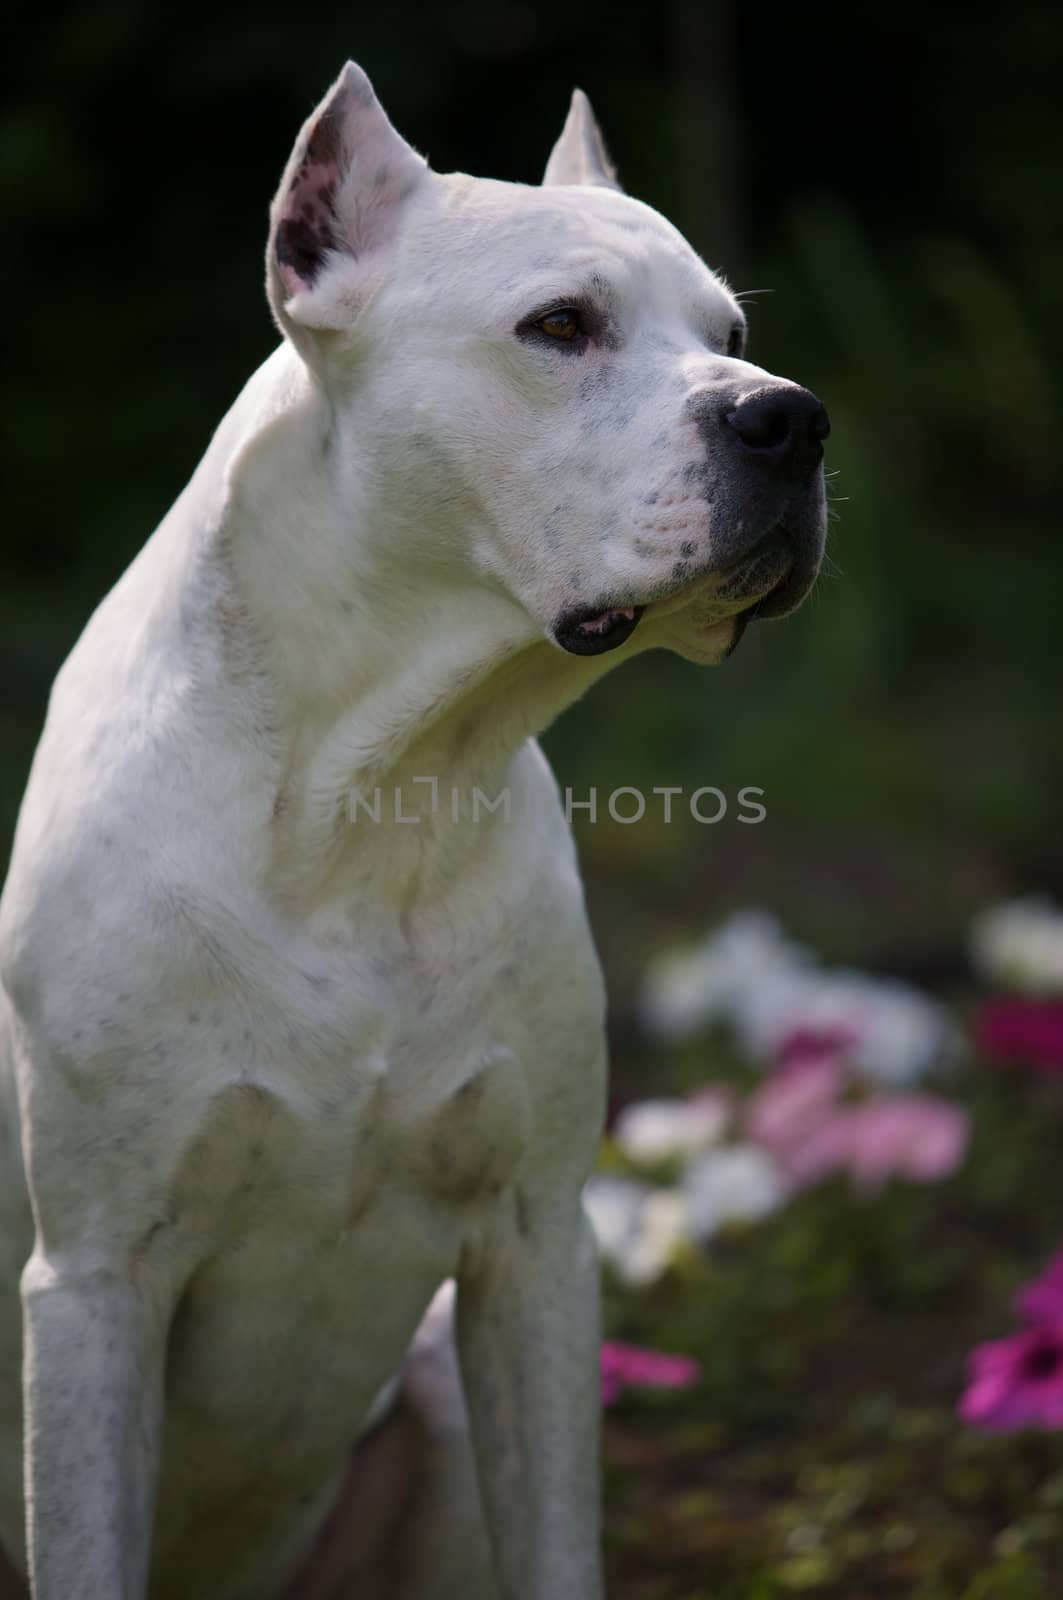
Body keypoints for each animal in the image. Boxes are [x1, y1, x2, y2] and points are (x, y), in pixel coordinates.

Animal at [0, 62, 832, 1600]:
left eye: (732, 336)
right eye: (559, 326)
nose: (790, 419)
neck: (375, 798)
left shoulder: (535, 1248)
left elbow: (558, 1539)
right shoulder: (94, 1287)